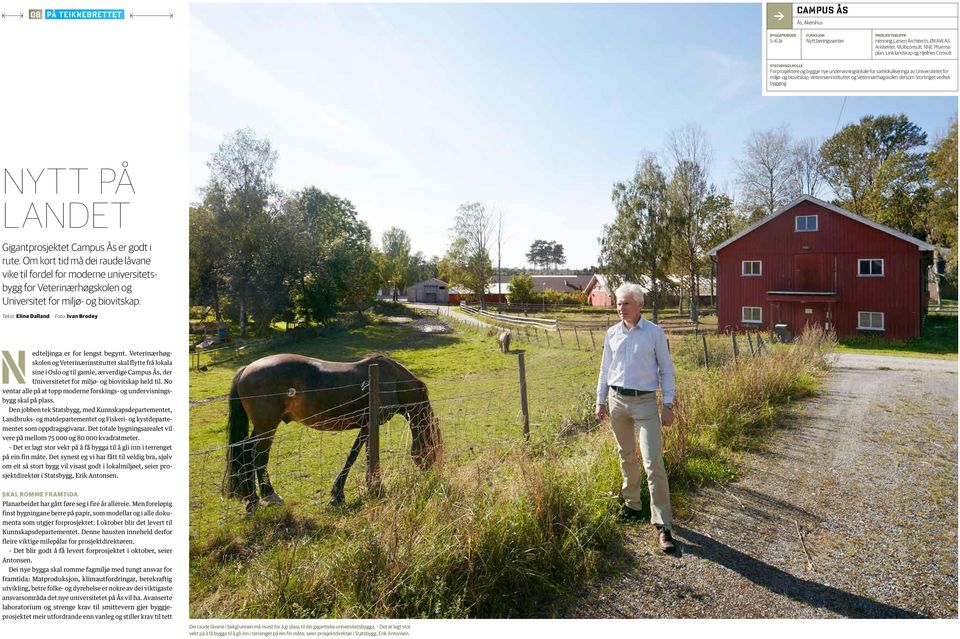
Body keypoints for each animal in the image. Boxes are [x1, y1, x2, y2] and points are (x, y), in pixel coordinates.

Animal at [222, 352, 442, 512]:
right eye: (434, 446)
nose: (434, 473)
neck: (392, 381)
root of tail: (247, 368)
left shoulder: (367, 425)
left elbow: (363, 454)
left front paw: (363, 487)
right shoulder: (368, 425)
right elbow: (354, 456)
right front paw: (344, 492)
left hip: (261, 428)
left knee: (245, 452)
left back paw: (252, 499)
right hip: (267, 427)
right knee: (257, 456)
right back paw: (267, 495)